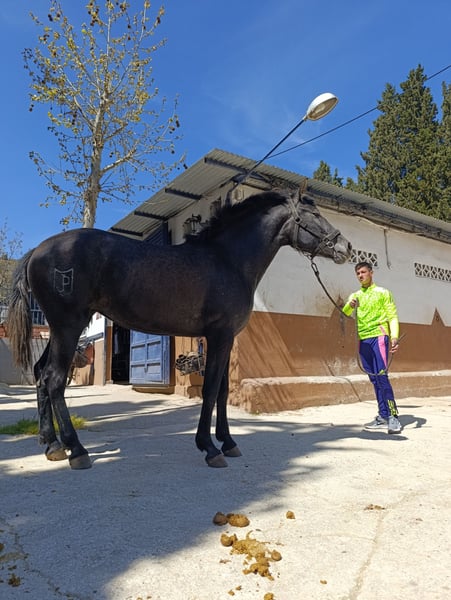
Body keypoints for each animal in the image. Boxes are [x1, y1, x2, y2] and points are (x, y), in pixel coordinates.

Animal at [7, 188, 352, 469]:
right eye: (314, 214)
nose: (345, 247)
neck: (228, 260)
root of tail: (37, 251)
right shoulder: (219, 336)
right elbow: (211, 389)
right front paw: (209, 448)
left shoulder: (225, 340)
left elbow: (223, 390)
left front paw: (228, 442)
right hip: (69, 326)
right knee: (54, 379)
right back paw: (76, 450)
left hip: (59, 329)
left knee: (41, 374)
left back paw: (52, 445)